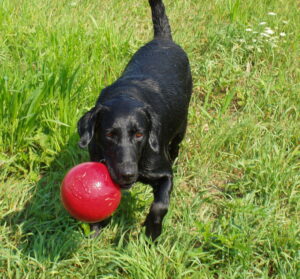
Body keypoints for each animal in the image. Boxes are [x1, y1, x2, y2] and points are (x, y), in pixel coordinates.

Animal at [77, 0, 192, 241]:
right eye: (109, 134)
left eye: (140, 134)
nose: (128, 173)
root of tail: (163, 39)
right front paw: (96, 228)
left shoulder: (164, 173)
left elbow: (160, 205)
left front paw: (152, 231)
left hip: (182, 126)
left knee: (176, 145)